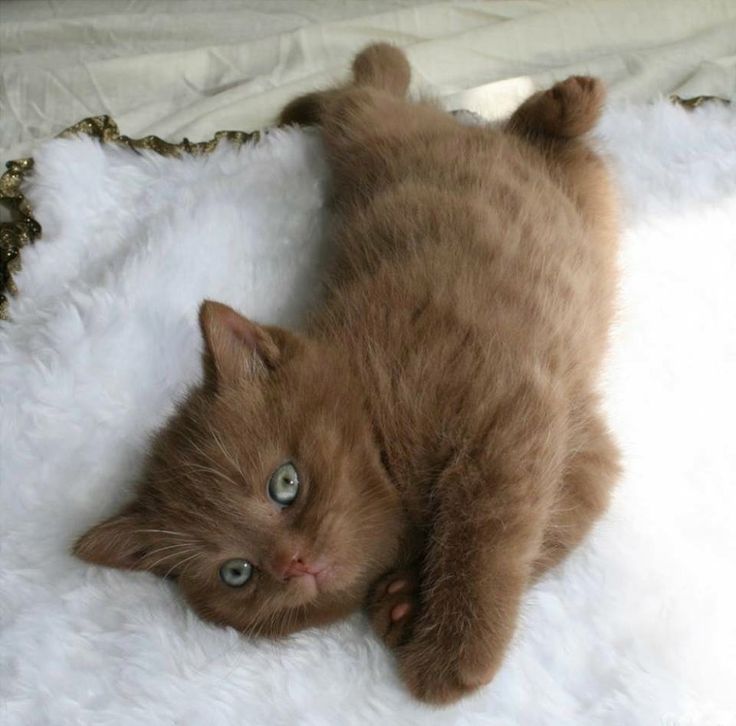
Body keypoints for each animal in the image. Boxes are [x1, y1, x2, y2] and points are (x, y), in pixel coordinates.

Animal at [75, 44, 620, 704]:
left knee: (372, 87)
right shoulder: (577, 441)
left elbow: (489, 532)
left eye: (285, 483)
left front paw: (452, 649)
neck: (373, 408)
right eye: (237, 573)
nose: (293, 564)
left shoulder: (511, 410)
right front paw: (405, 599)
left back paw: (560, 99)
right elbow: (556, 519)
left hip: (371, 134)